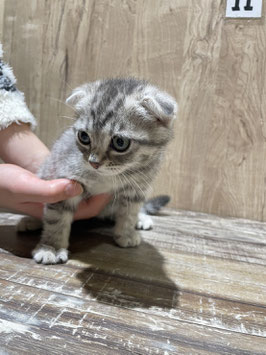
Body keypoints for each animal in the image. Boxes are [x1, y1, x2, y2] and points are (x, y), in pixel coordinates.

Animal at [19, 79, 178, 266]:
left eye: (120, 142)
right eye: (84, 137)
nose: (93, 163)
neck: (108, 177)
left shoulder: (136, 187)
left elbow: (129, 213)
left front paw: (126, 233)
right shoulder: (64, 179)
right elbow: (56, 219)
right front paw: (51, 248)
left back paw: (141, 218)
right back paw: (31, 220)